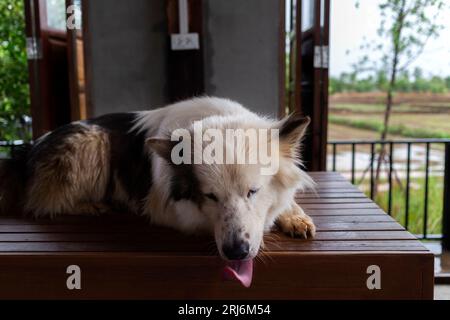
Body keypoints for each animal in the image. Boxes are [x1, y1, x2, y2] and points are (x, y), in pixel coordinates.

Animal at [0, 96, 316, 286]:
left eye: (253, 191)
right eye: (210, 196)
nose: (236, 252)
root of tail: (27, 149)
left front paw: (294, 216)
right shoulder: (165, 208)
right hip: (92, 140)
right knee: (46, 202)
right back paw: (90, 205)